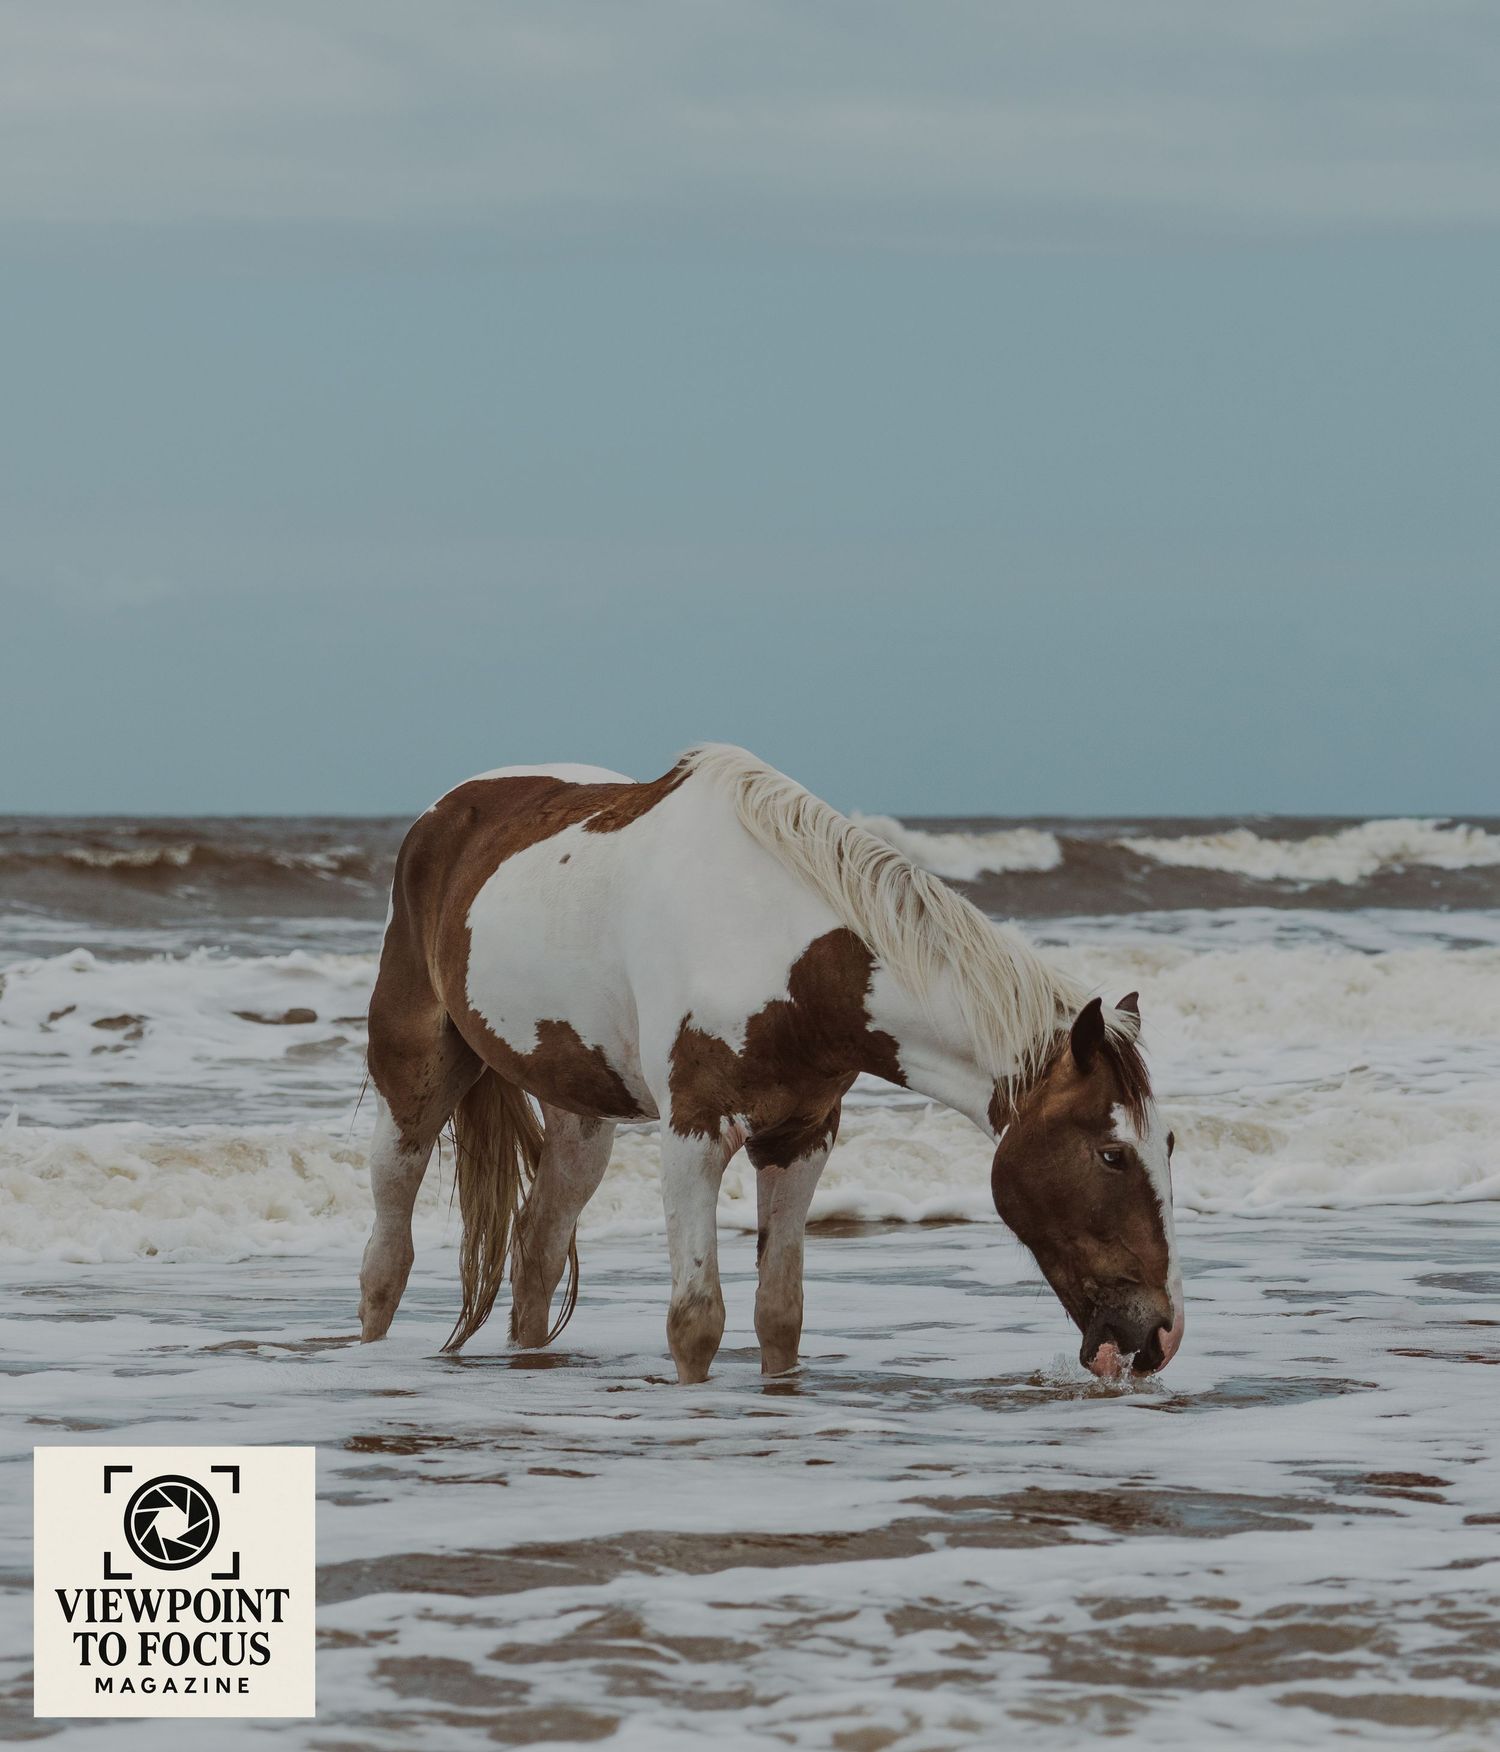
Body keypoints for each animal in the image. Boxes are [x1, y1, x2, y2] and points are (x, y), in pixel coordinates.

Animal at [358, 745, 1183, 1385]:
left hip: (580, 1113)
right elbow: (696, 1321)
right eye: (1111, 1154)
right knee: (387, 1257)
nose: (1159, 1335)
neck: (778, 949)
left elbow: (779, 1315)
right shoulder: (692, 1136)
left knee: (537, 1252)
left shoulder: (800, 1139)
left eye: (1168, 1146)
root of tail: (445, 812)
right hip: (412, 1088)